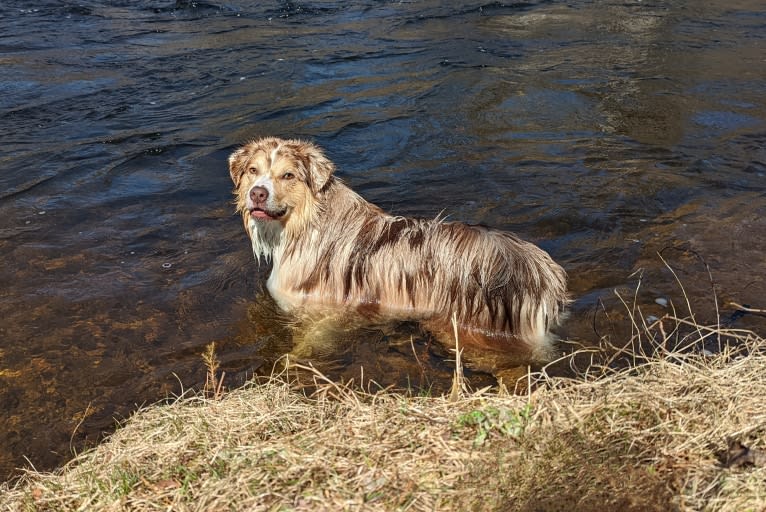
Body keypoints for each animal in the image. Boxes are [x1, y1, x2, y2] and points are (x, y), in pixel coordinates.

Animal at [228, 136, 568, 376]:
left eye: (288, 176)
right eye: (253, 171)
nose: (257, 193)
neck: (306, 223)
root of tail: (540, 273)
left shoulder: (321, 316)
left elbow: (301, 350)